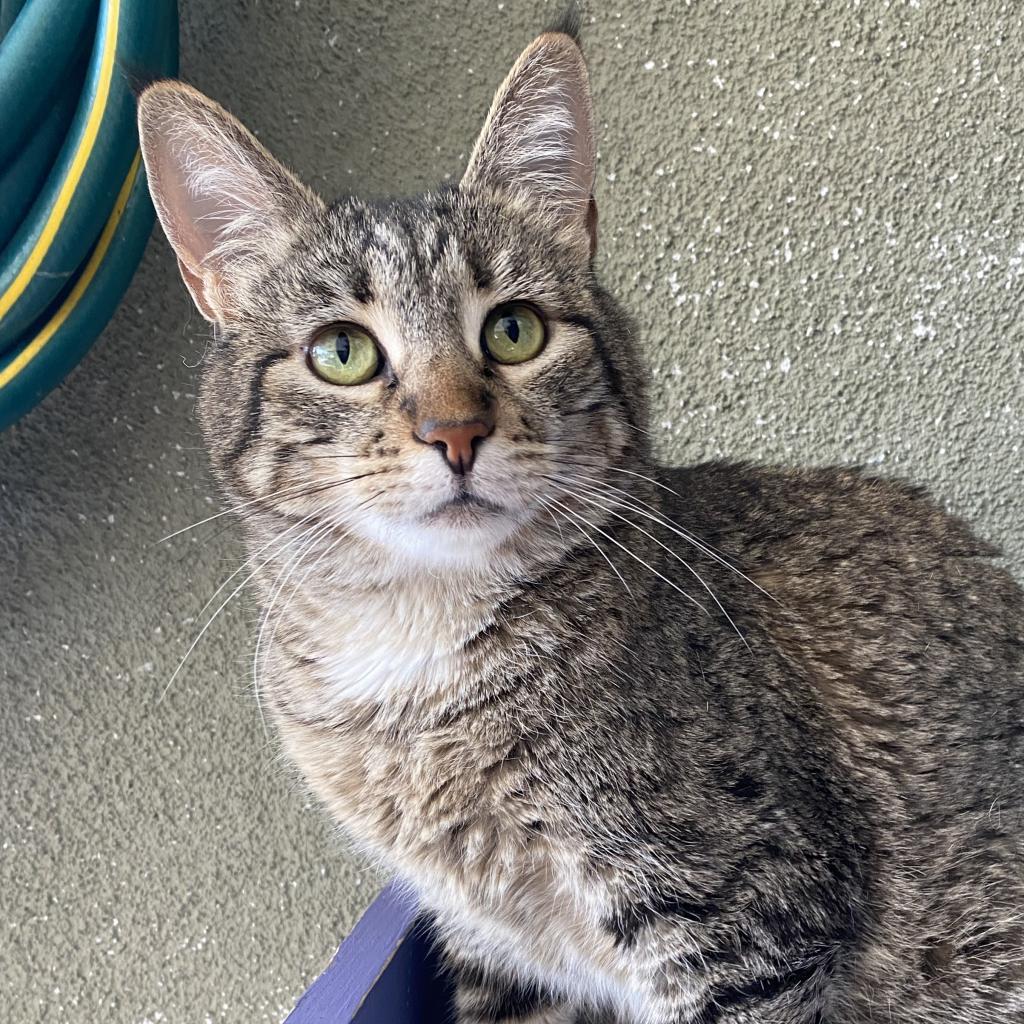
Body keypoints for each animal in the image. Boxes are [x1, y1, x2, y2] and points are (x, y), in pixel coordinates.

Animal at [136, 9, 1024, 1024]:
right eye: (343, 352)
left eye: (514, 329)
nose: (454, 430)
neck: (409, 663)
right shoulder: (499, 955)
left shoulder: (747, 921)